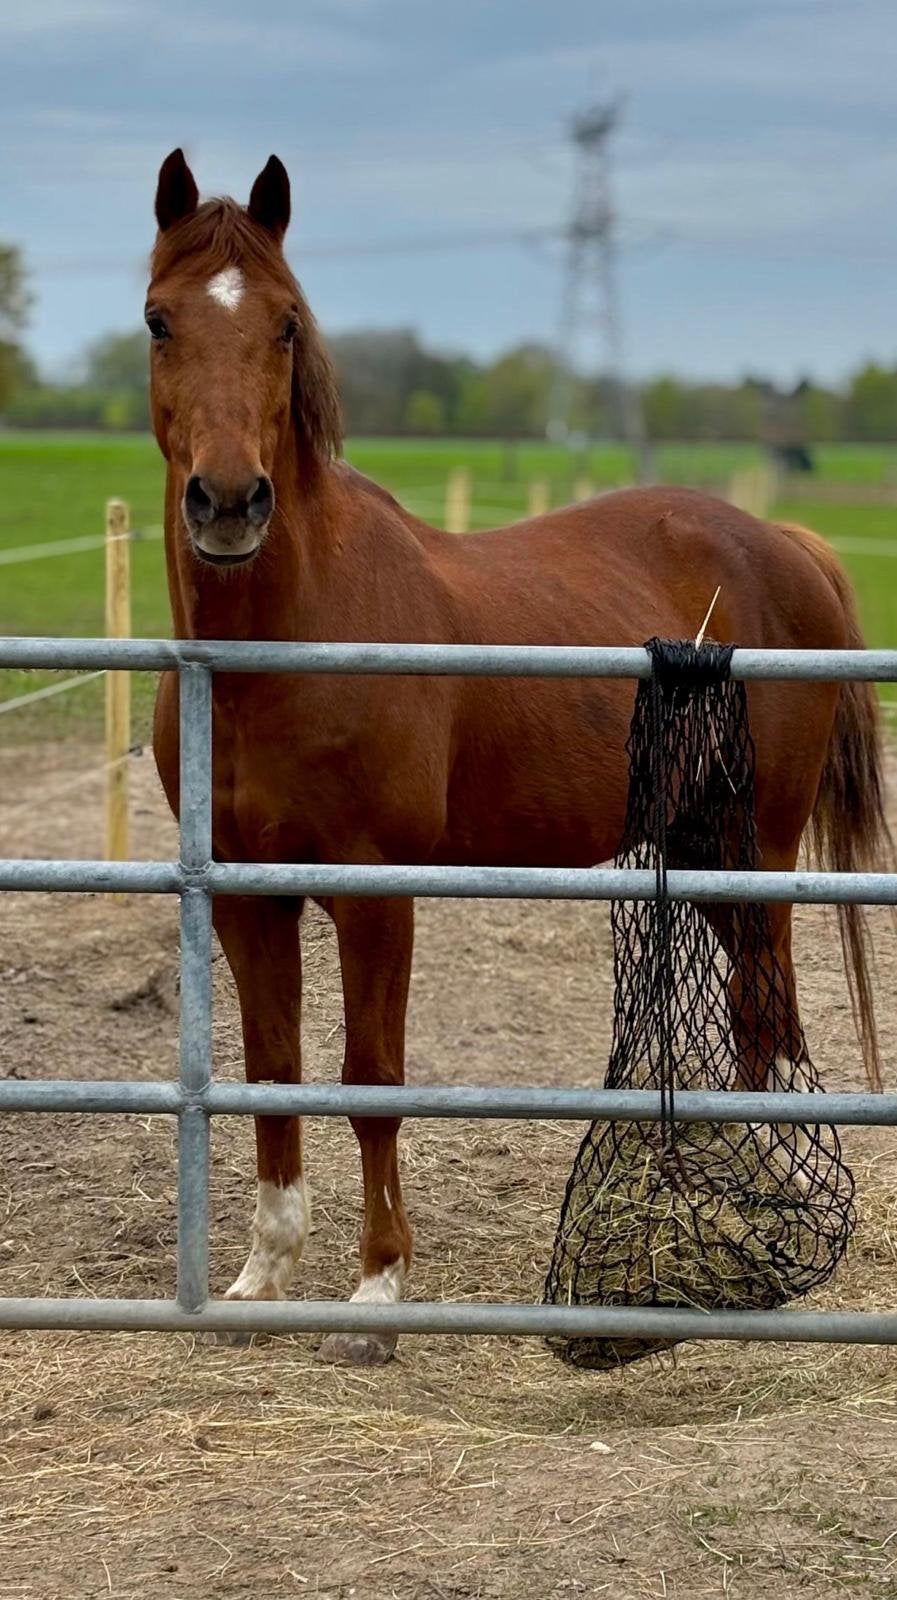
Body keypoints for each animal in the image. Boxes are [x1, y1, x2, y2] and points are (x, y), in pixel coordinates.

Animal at [148, 149, 888, 1364]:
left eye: (287, 325)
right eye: (160, 320)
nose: (228, 501)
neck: (290, 637)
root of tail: (785, 544)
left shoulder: (376, 891)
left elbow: (372, 1075)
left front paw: (376, 1297)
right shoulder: (250, 896)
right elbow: (271, 1069)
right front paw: (262, 1278)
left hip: (753, 846)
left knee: (759, 1004)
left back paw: (755, 1206)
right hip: (699, 840)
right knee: (755, 1007)